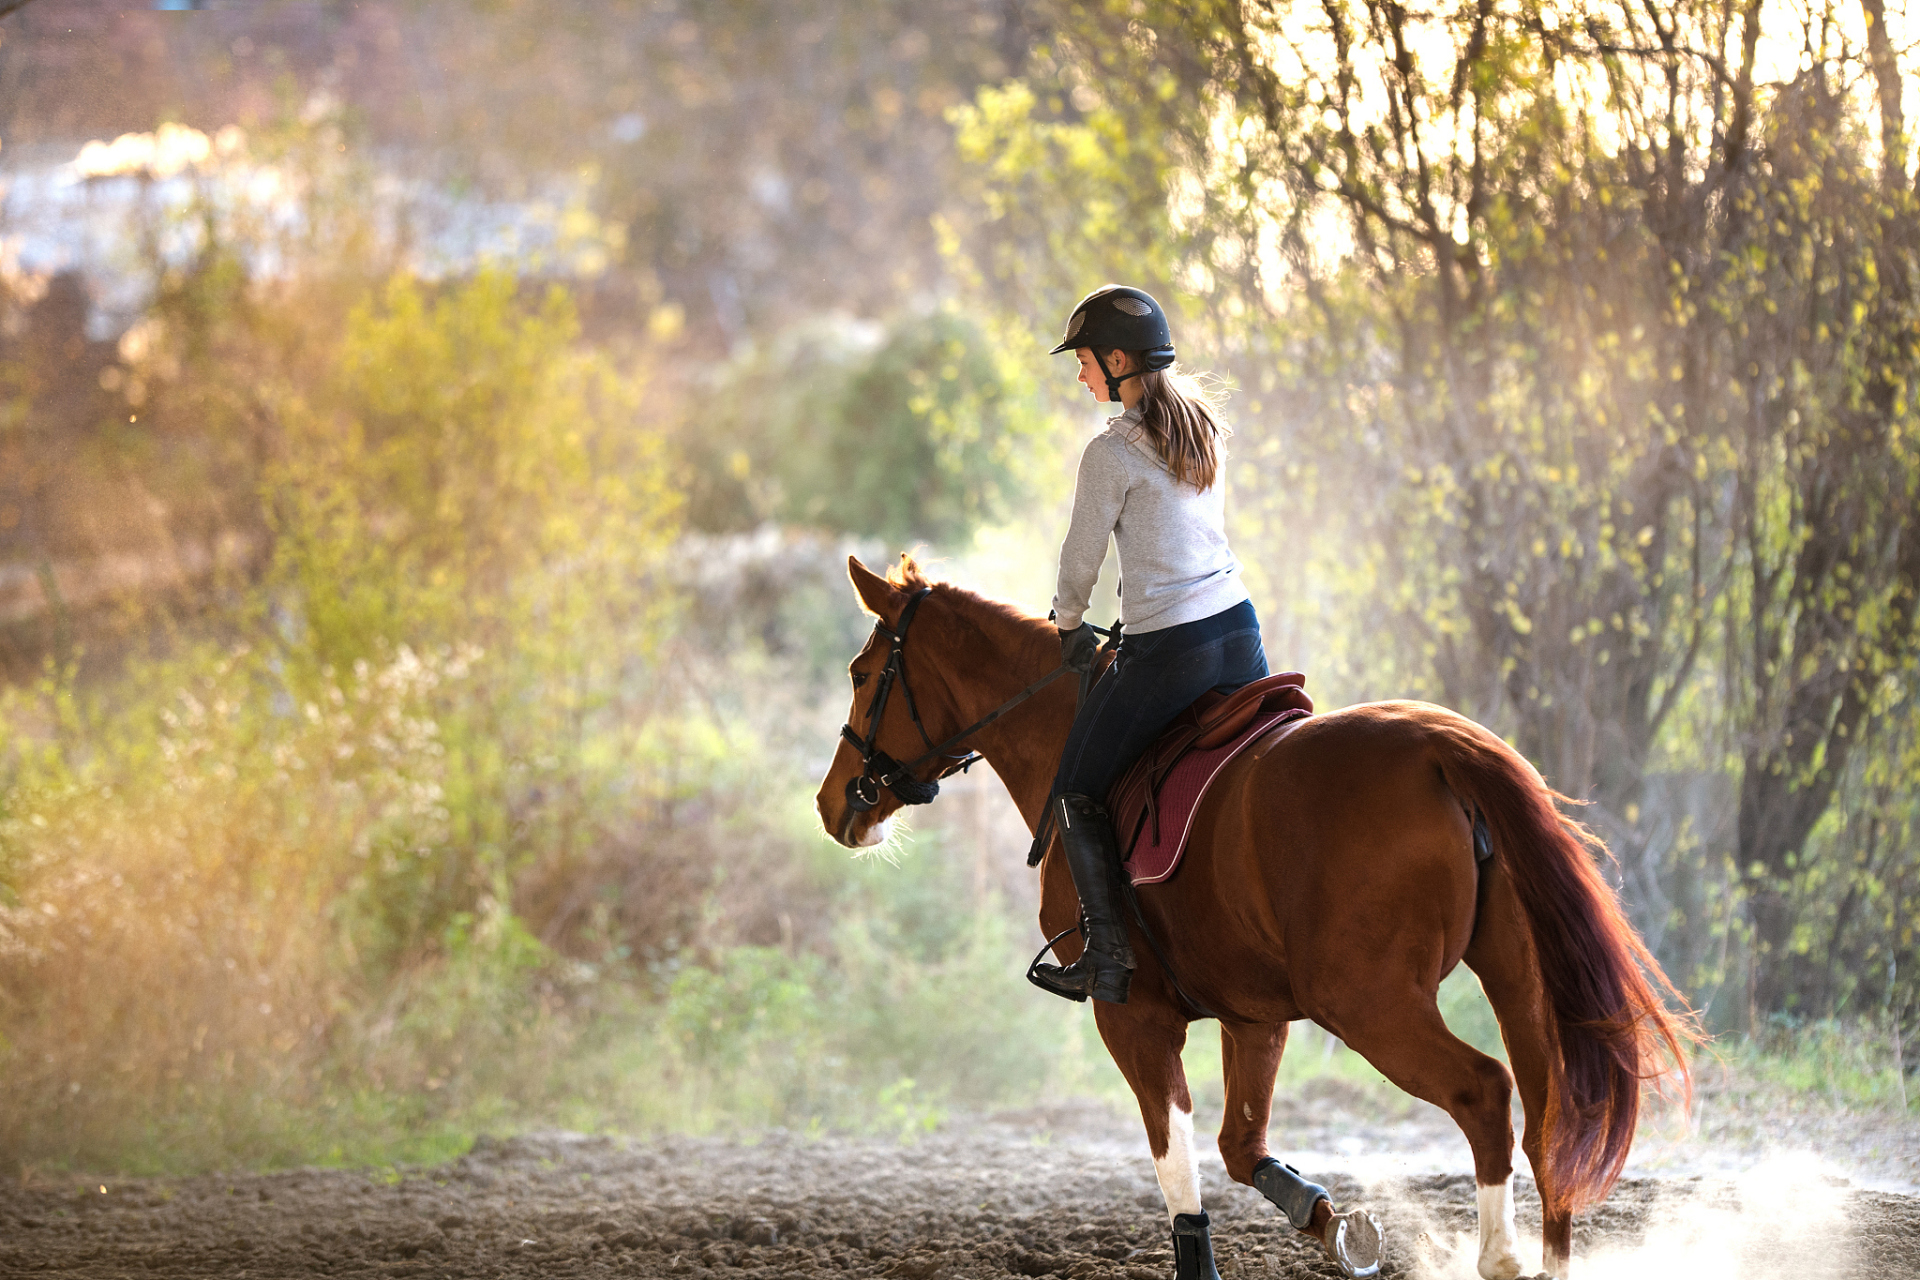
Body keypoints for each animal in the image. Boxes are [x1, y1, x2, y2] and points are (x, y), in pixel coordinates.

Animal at [814, 556, 1697, 1280]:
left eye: (863, 673)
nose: (833, 807)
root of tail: (1440, 747)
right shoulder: (1256, 1017)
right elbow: (1240, 1149)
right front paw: (1335, 1225)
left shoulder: (1132, 1016)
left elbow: (1174, 1157)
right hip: (1512, 975)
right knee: (1547, 1115)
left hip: (1369, 1004)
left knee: (1484, 1092)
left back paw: (1501, 1258)